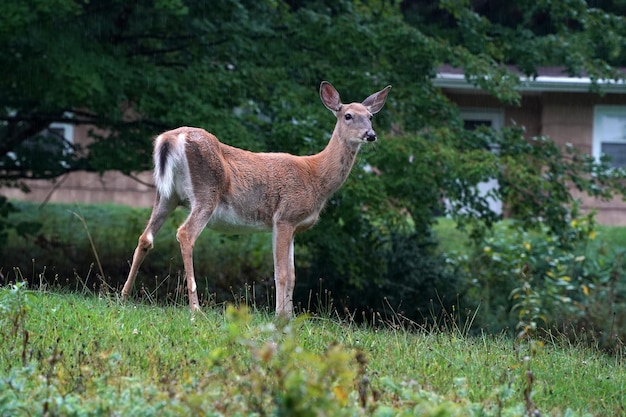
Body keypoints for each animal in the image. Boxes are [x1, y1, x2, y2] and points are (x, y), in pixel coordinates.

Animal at [119, 81, 388, 316]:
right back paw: (196, 308)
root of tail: (170, 138)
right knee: (185, 234)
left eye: (371, 116)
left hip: (167, 194)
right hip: (206, 192)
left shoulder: (291, 226)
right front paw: (280, 316)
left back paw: (124, 296)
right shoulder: (285, 216)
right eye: (348, 116)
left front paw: (290, 317)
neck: (316, 176)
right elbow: (282, 273)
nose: (371, 134)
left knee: (146, 237)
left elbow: (292, 274)